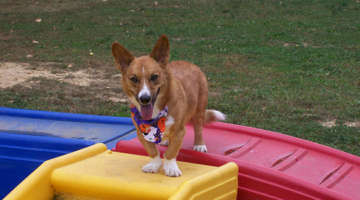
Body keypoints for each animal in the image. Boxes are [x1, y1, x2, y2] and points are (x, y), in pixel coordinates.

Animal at [112, 34, 225, 177]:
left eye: (154, 76)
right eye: (133, 79)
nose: (144, 99)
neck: (156, 113)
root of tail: (189, 63)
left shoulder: (179, 131)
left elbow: (171, 152)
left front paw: (171, 168)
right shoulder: (141, 133)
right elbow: (152, 151)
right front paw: (154, 165)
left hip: (199, 108)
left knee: (198, 127)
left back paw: (199, 145)